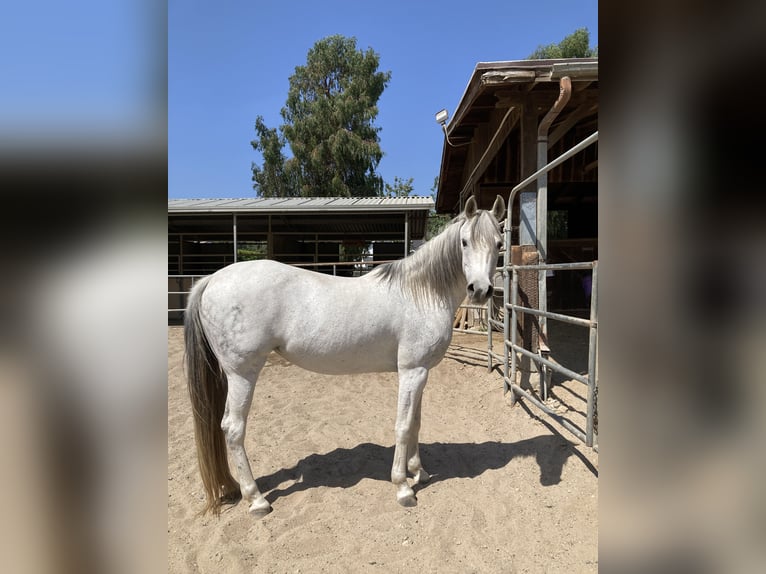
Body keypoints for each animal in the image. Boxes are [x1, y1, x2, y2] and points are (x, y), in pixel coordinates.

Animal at [185, 195, 505, 516]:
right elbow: (403, 427)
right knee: (233, 428)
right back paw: (257, 499)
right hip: (243, 374)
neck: (422, 293)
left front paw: (419, 472)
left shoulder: (421, 372)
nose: (480, 290)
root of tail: (211, 279)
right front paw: (403, 487)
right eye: (464, 242)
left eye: (499, 243)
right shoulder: (412, 372)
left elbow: (415, 423)